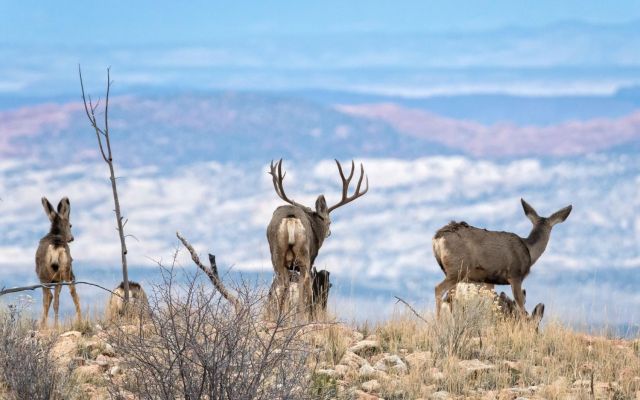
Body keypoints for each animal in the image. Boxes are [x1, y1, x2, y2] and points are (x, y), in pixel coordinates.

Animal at [35, 197, 81, 327]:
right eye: (70, 225)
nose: (72, 238)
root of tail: (56, 247)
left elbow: (48, 299)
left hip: (49, 276)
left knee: (50, 299)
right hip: (65, 273)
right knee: (69, 294)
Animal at [266, 159, 368, 318]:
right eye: (329, 221)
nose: (329, 232)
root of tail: (290, 218)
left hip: (277, 253)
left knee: (282, 282)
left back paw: (281, 316)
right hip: (304, 255)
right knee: (305, 281)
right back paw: (302, 317)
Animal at [432, 198, 571, 317]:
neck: (529, 250)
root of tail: (437, 237)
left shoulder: (487, 279)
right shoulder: (515, 275)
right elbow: (521, 308)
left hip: (453, 272)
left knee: (449, 298)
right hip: (458, 269)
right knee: (439, 289)